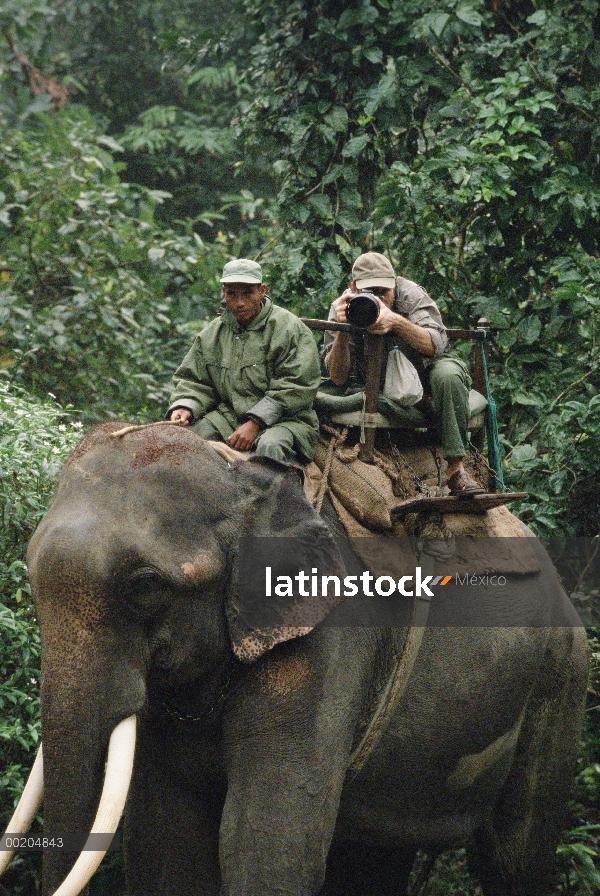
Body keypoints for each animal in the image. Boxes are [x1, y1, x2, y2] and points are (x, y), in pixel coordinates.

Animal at [0, 422, 592, 896]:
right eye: (28, 568)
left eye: (145, 586)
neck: (245, 477)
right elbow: (168, 837)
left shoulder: (326, 637)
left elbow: (265, 836)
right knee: (376, 858)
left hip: (562, 681)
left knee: (514, 858)